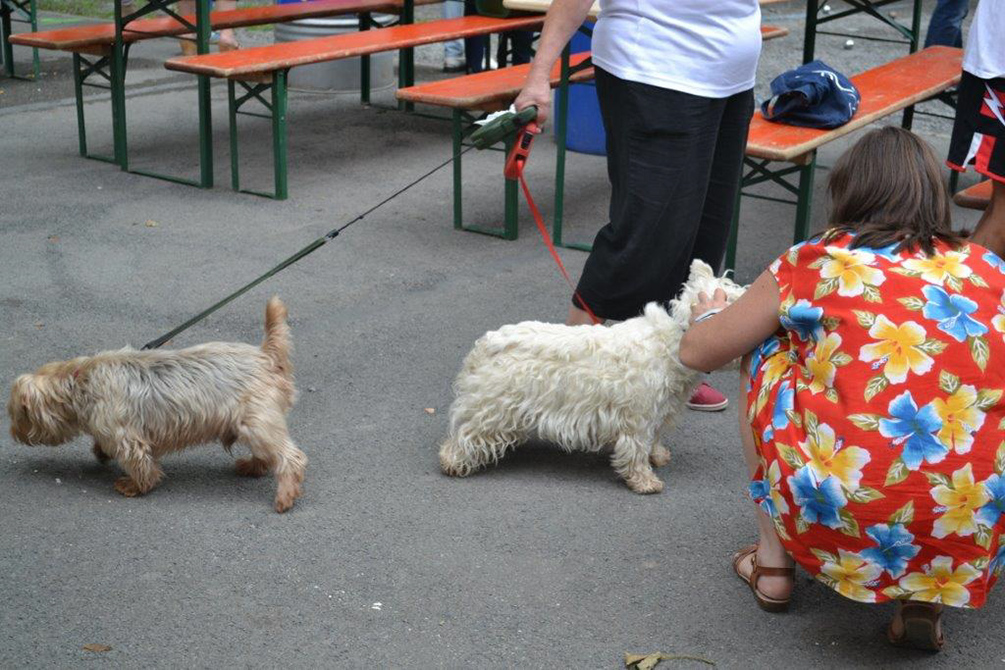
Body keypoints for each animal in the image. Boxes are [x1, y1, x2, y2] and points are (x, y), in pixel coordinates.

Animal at [6, 299, 305, 514]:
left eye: (16, 416)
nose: (13, 435)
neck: (80, 381)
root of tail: (266, 356)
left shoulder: (127, 437)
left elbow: (140, 464)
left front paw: (135, 485)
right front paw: (101, 453)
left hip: (256, 422)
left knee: (291, 458)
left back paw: (284, 496)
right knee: (267, 454)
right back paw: (252, 467)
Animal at [440, 259, 747, 496]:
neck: (679, 343)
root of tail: (486, 342)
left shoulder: (660, 411)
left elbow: (654, 440)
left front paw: (659, 456)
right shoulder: (638, 418)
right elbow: (636, 450)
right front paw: (646, 482)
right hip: (491, 408)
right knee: (466, 435)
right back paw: (453, 463)